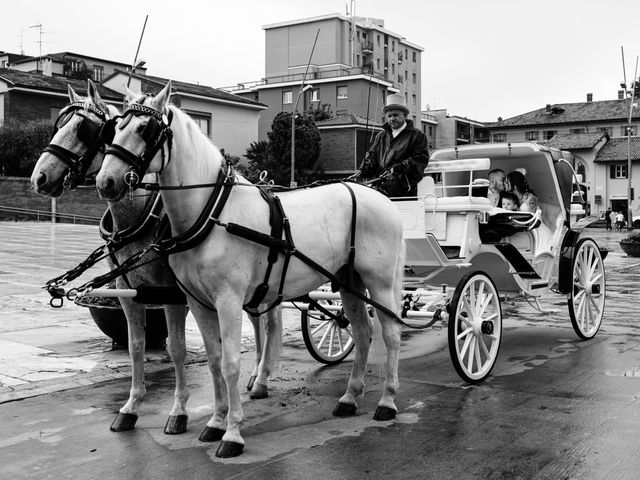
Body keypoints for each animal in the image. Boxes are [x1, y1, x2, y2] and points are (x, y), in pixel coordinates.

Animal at [30, 81, 280, 436]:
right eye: (58, 125)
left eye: (85, 129)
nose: (39, 178)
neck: (143, 214)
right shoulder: (127, 290)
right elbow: (136, 345)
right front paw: (131, 406)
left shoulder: (174, 293)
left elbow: (176, 349)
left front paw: (179, 410)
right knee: (259, 320)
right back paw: (256, 375)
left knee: (268, 322)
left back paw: (261, 377)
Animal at [96, 81, 404, 458]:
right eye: (113, 129)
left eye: (145, 129)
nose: (106, 182)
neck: (212, 211)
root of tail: (381, 197)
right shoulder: (198, 303)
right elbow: (214, 360)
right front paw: (215, 421)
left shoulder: (228, 301)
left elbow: (230, 364)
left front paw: (232, 433)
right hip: (349, 283)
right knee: (362, 333)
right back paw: (349, 397)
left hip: (381, 284)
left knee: (391, 335)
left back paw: (387, 401)